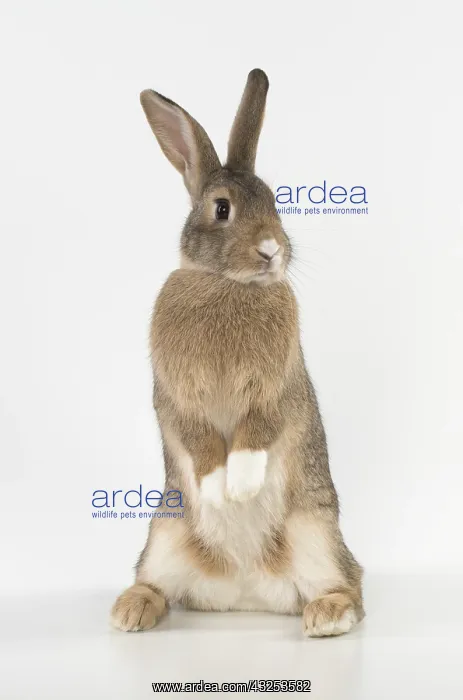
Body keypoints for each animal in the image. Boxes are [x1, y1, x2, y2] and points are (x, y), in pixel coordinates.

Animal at [111, 69, 364, 637]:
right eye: (222, 209)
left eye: (275, 201)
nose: (272, 250)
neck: (228, 283)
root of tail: (246, 594)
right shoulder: (177, 396)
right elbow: (201, 442)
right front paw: (217, 491)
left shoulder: (275, 386)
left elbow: (255, 431)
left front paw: (241, 489)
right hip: (164, 535)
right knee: (156, 585)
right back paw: (129, 611)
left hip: (317, 533)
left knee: (352, 587)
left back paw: (325, 616)